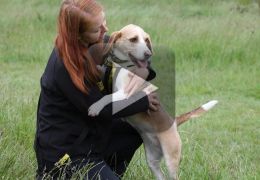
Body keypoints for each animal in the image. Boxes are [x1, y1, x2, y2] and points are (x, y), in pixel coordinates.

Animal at [87, 24, 217, 180]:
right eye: (133, 39)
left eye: (146, 40)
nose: (148, 54)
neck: (124, 65)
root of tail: (173, 122)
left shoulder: (125, 93)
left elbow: (106, 98)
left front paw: (95, 107)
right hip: (152, 161)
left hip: (170, 160)